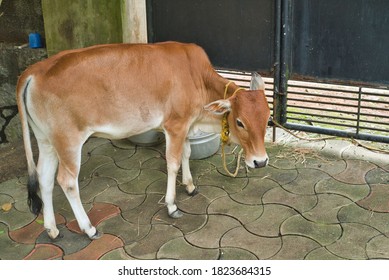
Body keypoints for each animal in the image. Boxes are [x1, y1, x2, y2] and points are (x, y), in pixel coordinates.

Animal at [16, 41, 268, 238]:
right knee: (66, 181)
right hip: (68, 140)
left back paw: (51, 228)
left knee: (44, 177)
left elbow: (186, 154)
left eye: (267, 119)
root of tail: (35, 70)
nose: (261, 161)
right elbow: (173, 163)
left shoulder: (186, 124)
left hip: (46, 140)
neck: (197, 78)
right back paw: (89, 228)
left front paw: (189, 186)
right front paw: (172, 205)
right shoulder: (174, 125)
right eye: (240, 122)